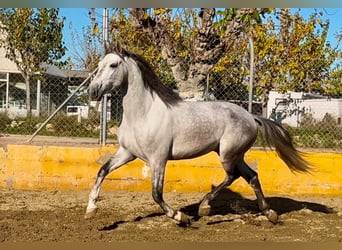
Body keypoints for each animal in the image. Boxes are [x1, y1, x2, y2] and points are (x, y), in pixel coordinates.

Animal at [85, 45, 310, 227]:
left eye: (113, 64)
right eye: (99, 65)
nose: (93, 91)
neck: (143, 114)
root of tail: (251, 117)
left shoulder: (158, 159)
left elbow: (156, 194)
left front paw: (181, 217)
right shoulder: (127, 153)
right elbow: (102, 171)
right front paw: (90, 210)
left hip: (228, 155)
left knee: (233, 176)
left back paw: (204, 207)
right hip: (234, 154)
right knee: (251, 176)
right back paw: (270, 213)